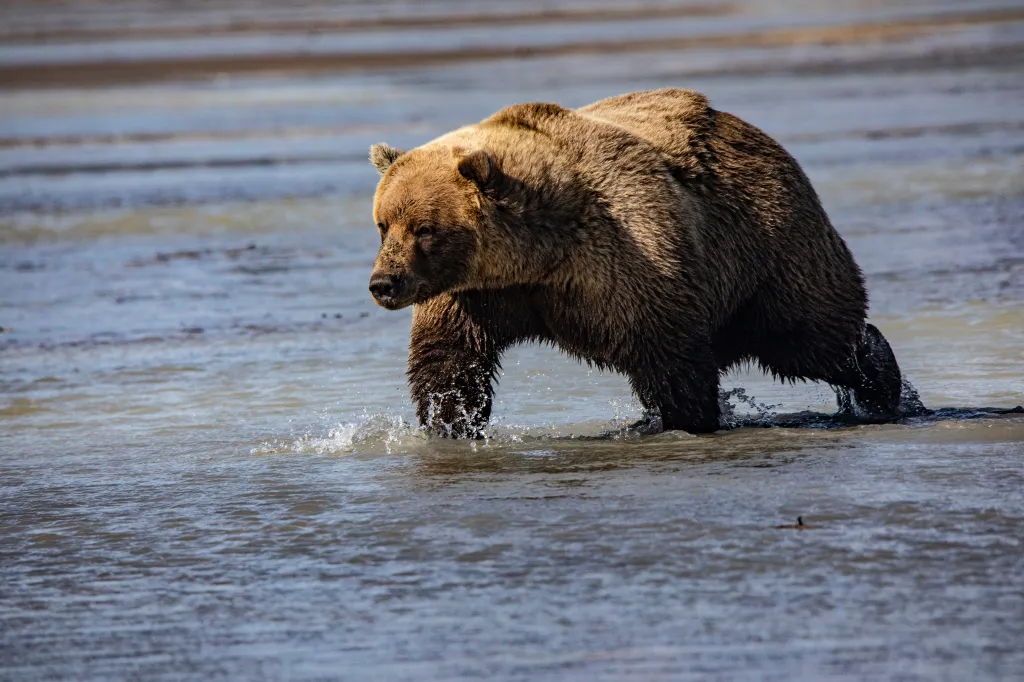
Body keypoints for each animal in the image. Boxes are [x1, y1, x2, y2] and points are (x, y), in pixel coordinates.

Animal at [366, 88, 905, 438]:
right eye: (383, 223)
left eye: (425, 229)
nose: (383, 282)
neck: (539, 255)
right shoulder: (477, 294)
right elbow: (449, 362)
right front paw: (450, 423)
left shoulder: (629, 258)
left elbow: (670, 359)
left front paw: (686, 420)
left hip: (768, 247)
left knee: (808, 337)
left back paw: (881, 385)